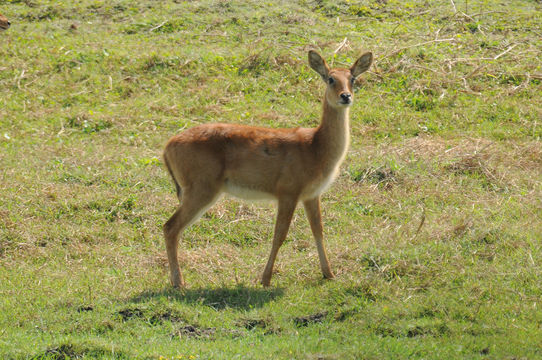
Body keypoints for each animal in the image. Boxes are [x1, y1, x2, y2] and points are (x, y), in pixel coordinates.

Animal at [162, 50, 374, 286]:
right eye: (330, 79)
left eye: (352, 78)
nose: (345, 96)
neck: (315, 148)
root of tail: (167, 148)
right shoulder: (288, 190)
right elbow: (280, 234)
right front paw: (265, 279)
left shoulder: (311, 194)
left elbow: (318, 230)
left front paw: (329, 273)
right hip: (201, 187)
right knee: (170, 227)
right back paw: (179, 282)